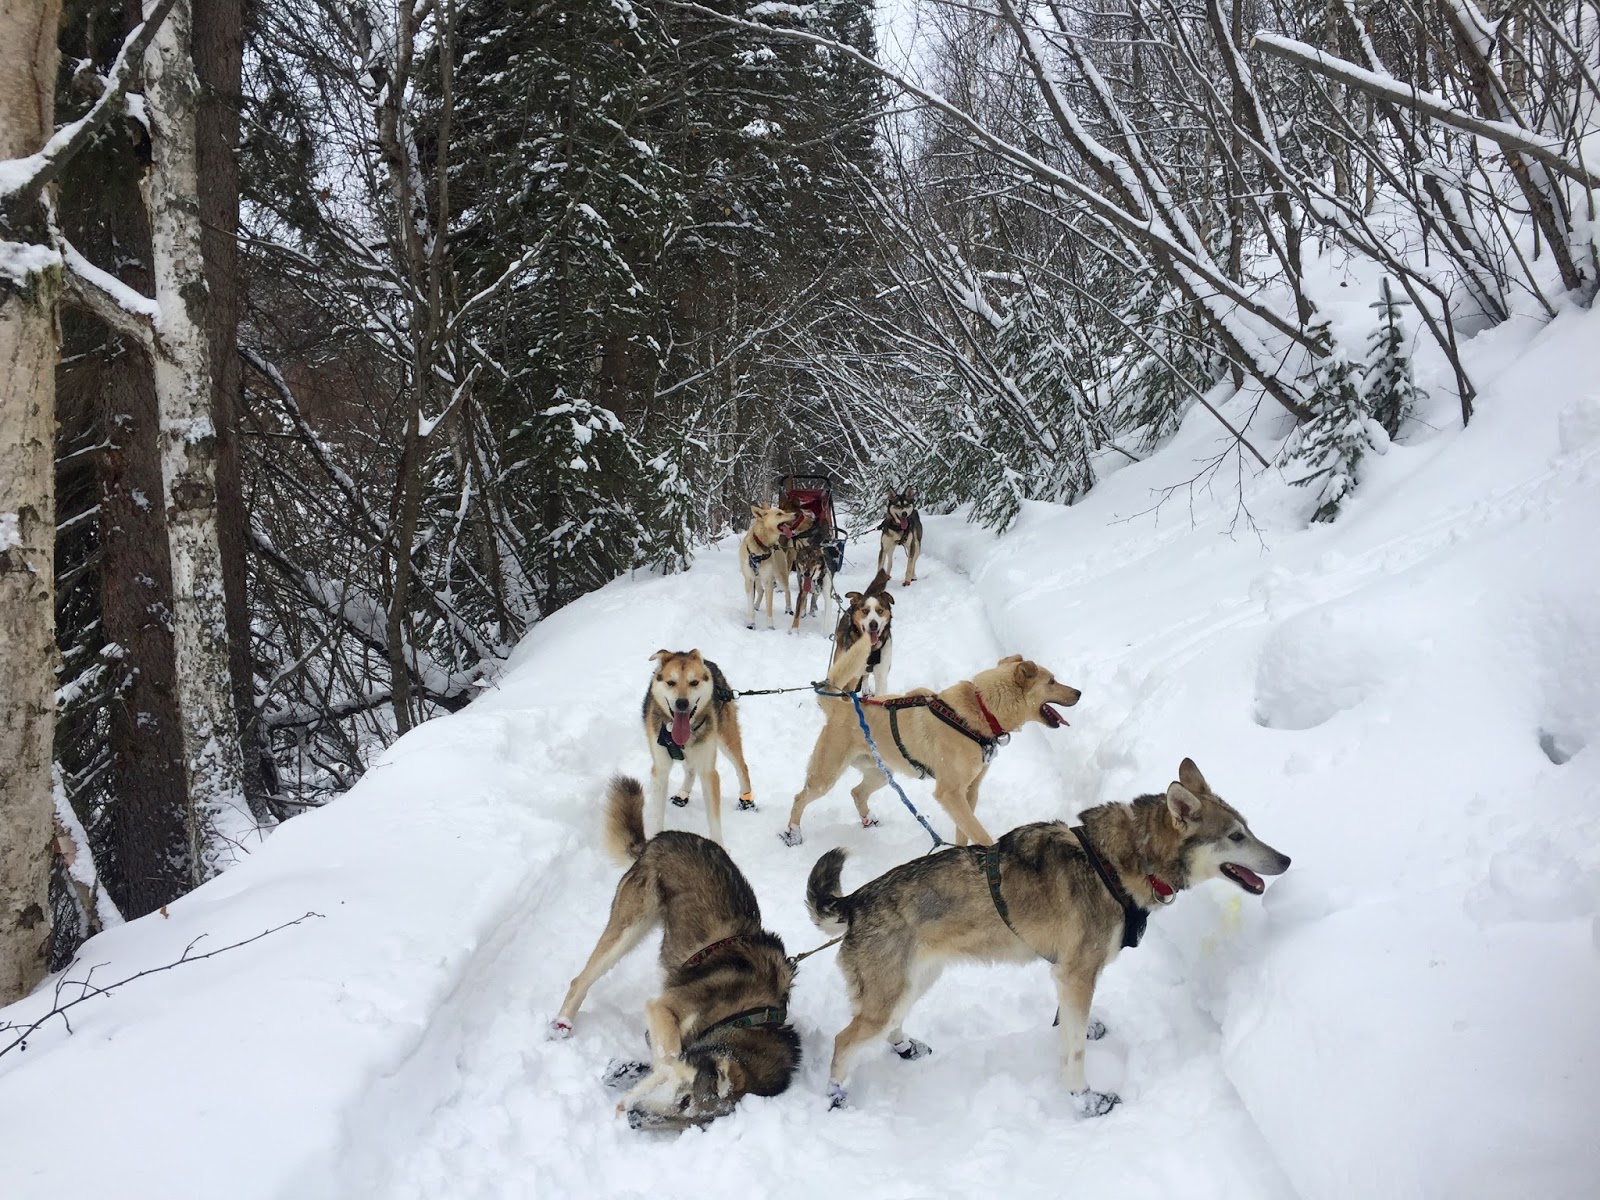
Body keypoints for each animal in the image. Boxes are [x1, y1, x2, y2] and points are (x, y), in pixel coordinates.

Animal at [550, 777, 802, 1130]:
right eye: (684, 1101)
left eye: (687, 1124)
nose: (636, 1120)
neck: (749, 1013)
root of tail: (660, 838)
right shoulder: (664, 1008)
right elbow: (668, 1062)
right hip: (630, 928)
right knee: (581, 979)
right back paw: (563, 1022)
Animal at [641, 649, 755, 845]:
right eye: (671, 683)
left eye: (694, 682)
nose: (682, 703)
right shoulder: (660, 769)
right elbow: (657, 814)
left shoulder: (708, 772)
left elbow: (714, 818)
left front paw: (718, 845)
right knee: (689, 769)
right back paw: (683, 793)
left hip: (725, 738)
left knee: (742, 766)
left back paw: (746, 798)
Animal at [780, 632, 1081, 847]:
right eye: (1052, 681)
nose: (1079, 692)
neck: (980, 710)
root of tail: (843, 704)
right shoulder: (950, 793)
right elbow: (980, 834)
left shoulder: (969, 791)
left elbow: (964, 832)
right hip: (825, 776)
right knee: (800, 797)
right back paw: (793, 834)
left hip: (881, 773)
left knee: (856, 792)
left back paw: (868, 820)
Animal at [804, 758, 1290, 1115]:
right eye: (1235, 836)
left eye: (1247, 828)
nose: (1286, 859)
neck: (1118, 863)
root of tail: (855, 902)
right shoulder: (1078, 974)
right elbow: (1073, 1053)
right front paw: (1085, 1100)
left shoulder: (1068, 974)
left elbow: (1071, 1025)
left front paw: (1087, 1029)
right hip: (894, 991)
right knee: (845, 1040)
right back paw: (837, 1095)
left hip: (917, 980)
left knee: (887, 1026)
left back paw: (905, 1046)